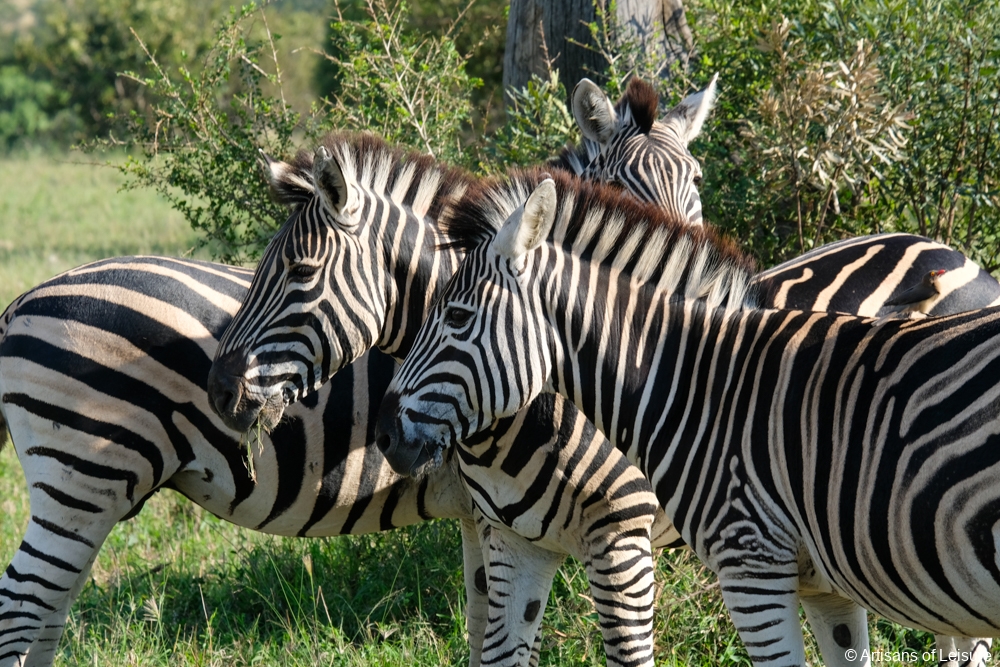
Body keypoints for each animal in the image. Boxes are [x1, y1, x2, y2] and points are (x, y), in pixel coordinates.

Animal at [207, 134, 996, 664]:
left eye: (300, 271)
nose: (218, 386)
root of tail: (955, 253)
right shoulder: (513, 538)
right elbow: (501, 651)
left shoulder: (622, 538)